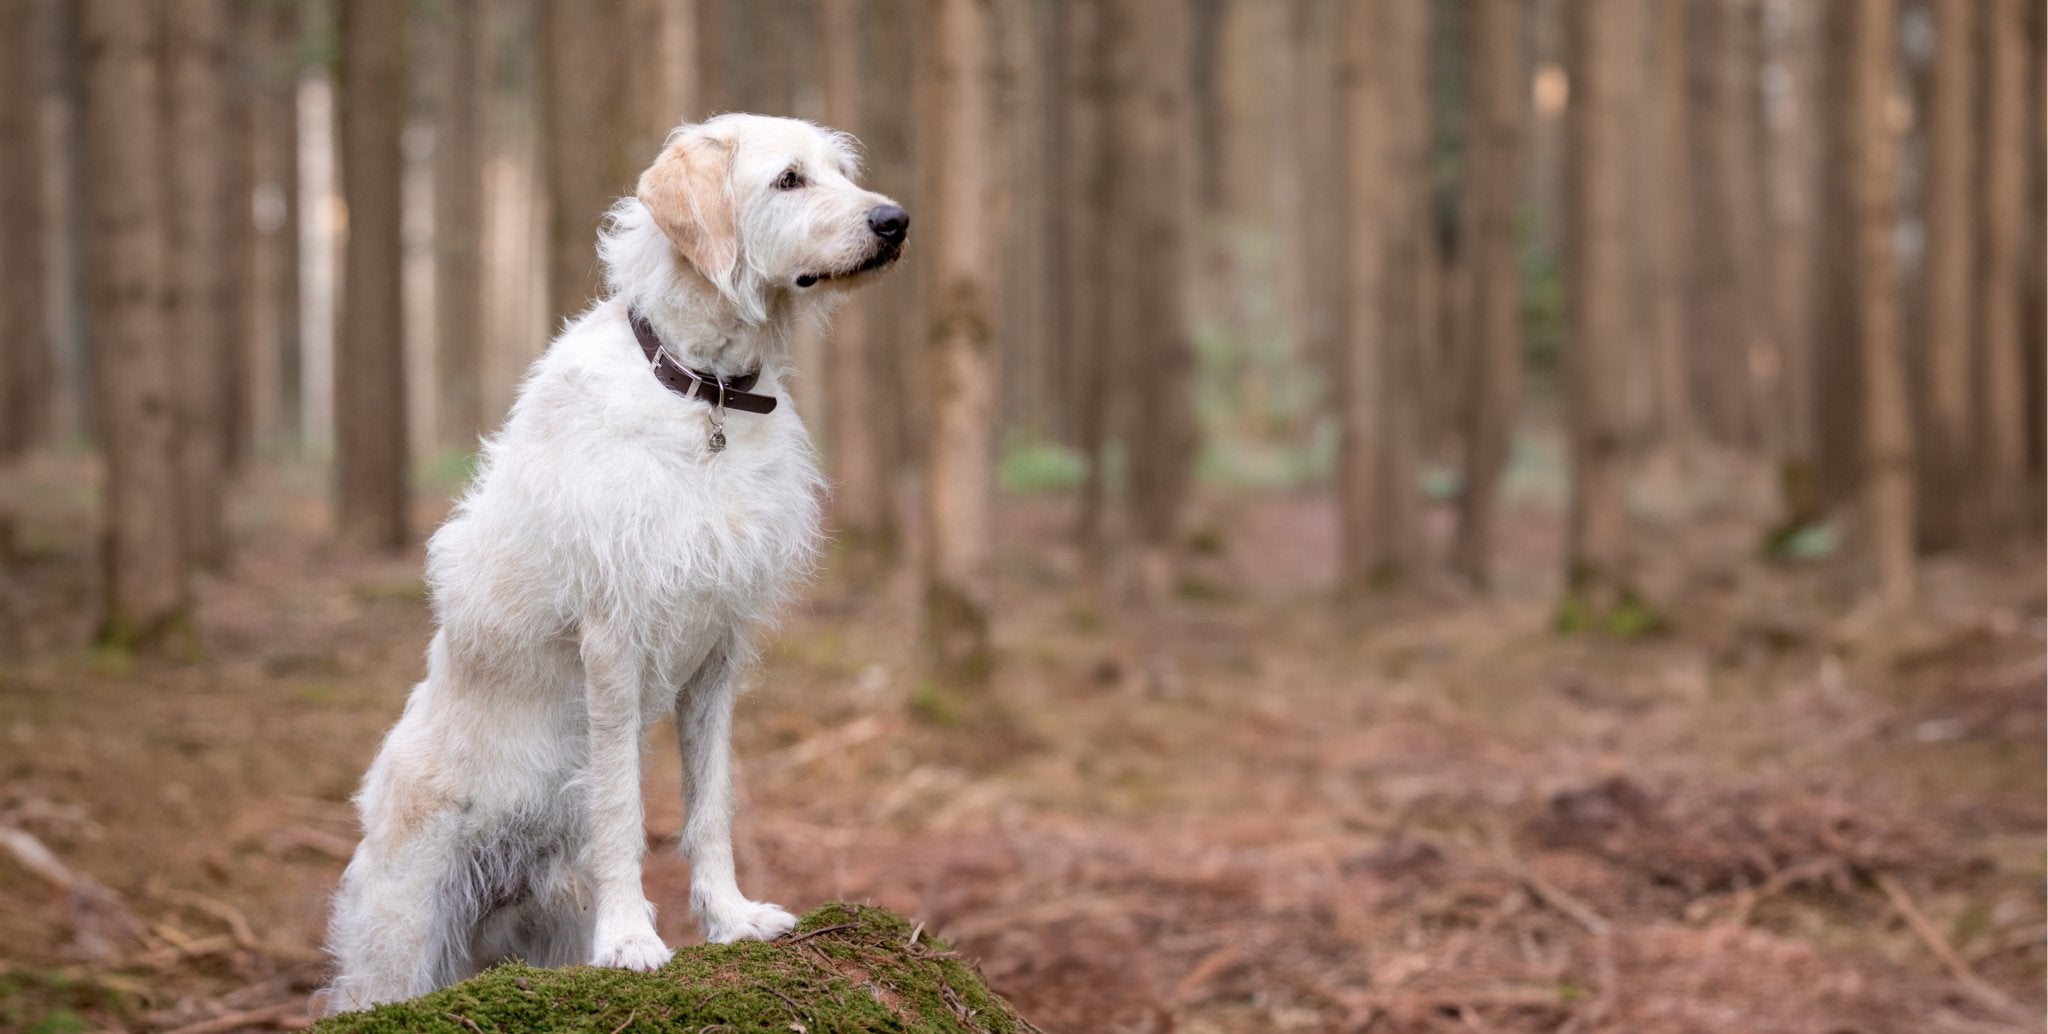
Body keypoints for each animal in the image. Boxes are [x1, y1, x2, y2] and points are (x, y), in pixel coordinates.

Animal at [317, 116, 905, 1011]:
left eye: (842, 171)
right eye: (789, 180)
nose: (896, 222)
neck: (703, 395)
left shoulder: (719, 651)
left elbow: (710, 803)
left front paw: (730, 917)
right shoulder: (612, 642)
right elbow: (622, 808)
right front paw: (630, 939)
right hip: (402, 939)